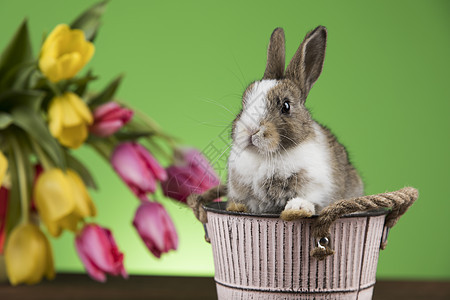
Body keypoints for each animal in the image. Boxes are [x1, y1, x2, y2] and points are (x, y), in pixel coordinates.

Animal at [227, 26, 364, 220]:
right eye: (244, 102)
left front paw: (296, 210)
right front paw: (235, 207)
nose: (251, 130)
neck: (266, 156)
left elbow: (307, 199)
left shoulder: (314, 186)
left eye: (286, 106)